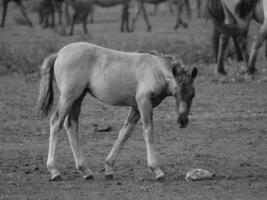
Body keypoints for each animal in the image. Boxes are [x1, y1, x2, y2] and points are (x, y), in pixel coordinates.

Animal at [36, 42, 198, 181]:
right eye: (176, 93)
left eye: (193, 95)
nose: (183, 121)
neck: (154, 70)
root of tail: (59, 53)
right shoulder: (144, 102)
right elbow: (148, 132)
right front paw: (157, 171)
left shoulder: (136, 107)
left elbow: (124, 133)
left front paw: (108, 168)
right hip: (68, 96)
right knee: (56, 122)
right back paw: (54, 171)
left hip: (78, 97)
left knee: (71, 125)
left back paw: (85, 170)